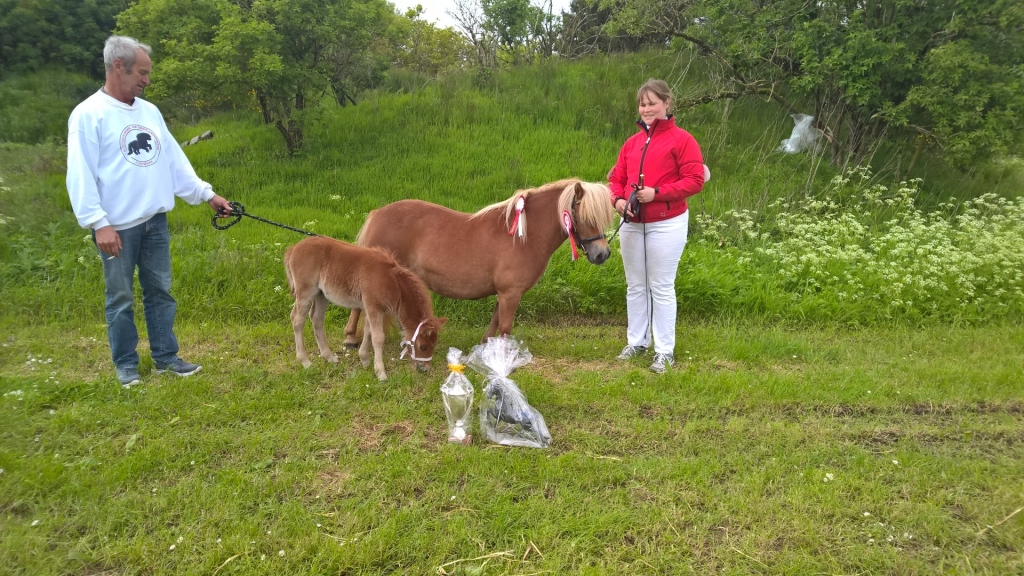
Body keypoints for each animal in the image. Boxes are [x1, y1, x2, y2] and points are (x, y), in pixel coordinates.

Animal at [288, 235, 448, 379]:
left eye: (434, 345)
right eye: (423, 347)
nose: (425, 370)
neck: (392, 282)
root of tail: (293, 248)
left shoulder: (371, 308)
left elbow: (368, 331)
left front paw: (364, 359)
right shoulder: (374, 307)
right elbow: (378, 337)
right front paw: (381, 373)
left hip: (321, 295)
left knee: (317, 319)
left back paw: (329, 357)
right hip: (305, 292)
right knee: (297, 319)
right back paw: (305, 361)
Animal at [344, 177, 614, 342]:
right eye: (586, 216)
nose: (603, 254)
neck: (523, 236)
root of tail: (377, 213)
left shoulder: (504, 293)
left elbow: (494, 322)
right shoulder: (511, 293)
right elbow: (505, 327)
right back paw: (350, 338)